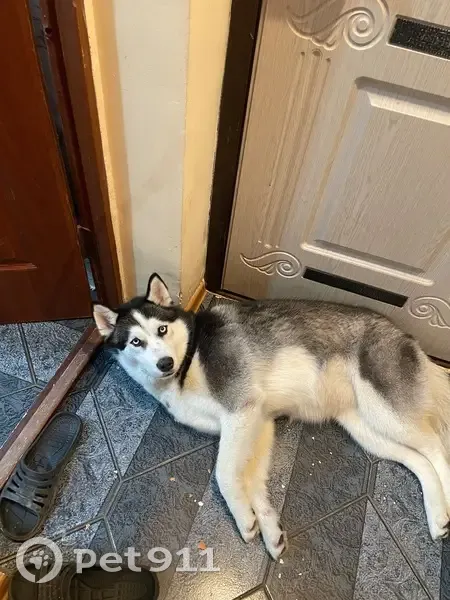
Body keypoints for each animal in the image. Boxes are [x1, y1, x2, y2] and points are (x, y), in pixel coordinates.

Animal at [93, 273, 450, 559]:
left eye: (162, 329)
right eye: (136, 341)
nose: (164, 363)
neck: (190, 358)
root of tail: (404, 334)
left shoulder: (241, 410)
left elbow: (226, 474)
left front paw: (244, 519)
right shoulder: (259, 423)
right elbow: (252, 482)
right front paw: (268, 527)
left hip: (387, 412)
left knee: (435, 447)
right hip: (367, 428)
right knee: (418, 460)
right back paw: (437, 517)